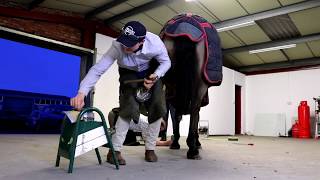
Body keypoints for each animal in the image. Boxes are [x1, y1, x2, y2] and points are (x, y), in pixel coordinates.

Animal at [161, 14, 221, 160]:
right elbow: (196, 116)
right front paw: (197, 143)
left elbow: (175, 118)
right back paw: (193, 150)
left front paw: (176, 143)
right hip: (199, 84)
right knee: (194, 108)